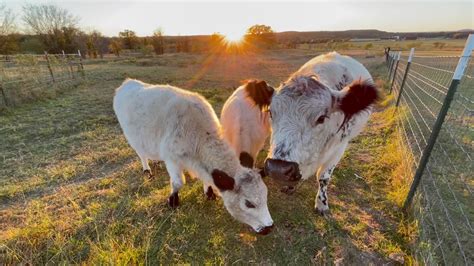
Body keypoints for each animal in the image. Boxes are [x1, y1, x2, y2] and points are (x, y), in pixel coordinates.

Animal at [113, 79, 274, 235]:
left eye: (266, 197)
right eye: (249, 203)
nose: (269, 227)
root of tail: (128, 83)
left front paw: (208, 193)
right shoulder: (172, 159)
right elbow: (178, 182)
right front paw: (173, 200)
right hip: (133, 138)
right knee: (141, 154)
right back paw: (147, 170)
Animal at [248, 52, 378, 214]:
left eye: (321, 117)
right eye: (271, 112)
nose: (278, 168)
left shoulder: (339, 148)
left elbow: (323, 177)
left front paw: (322, 203)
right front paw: (290, 186)